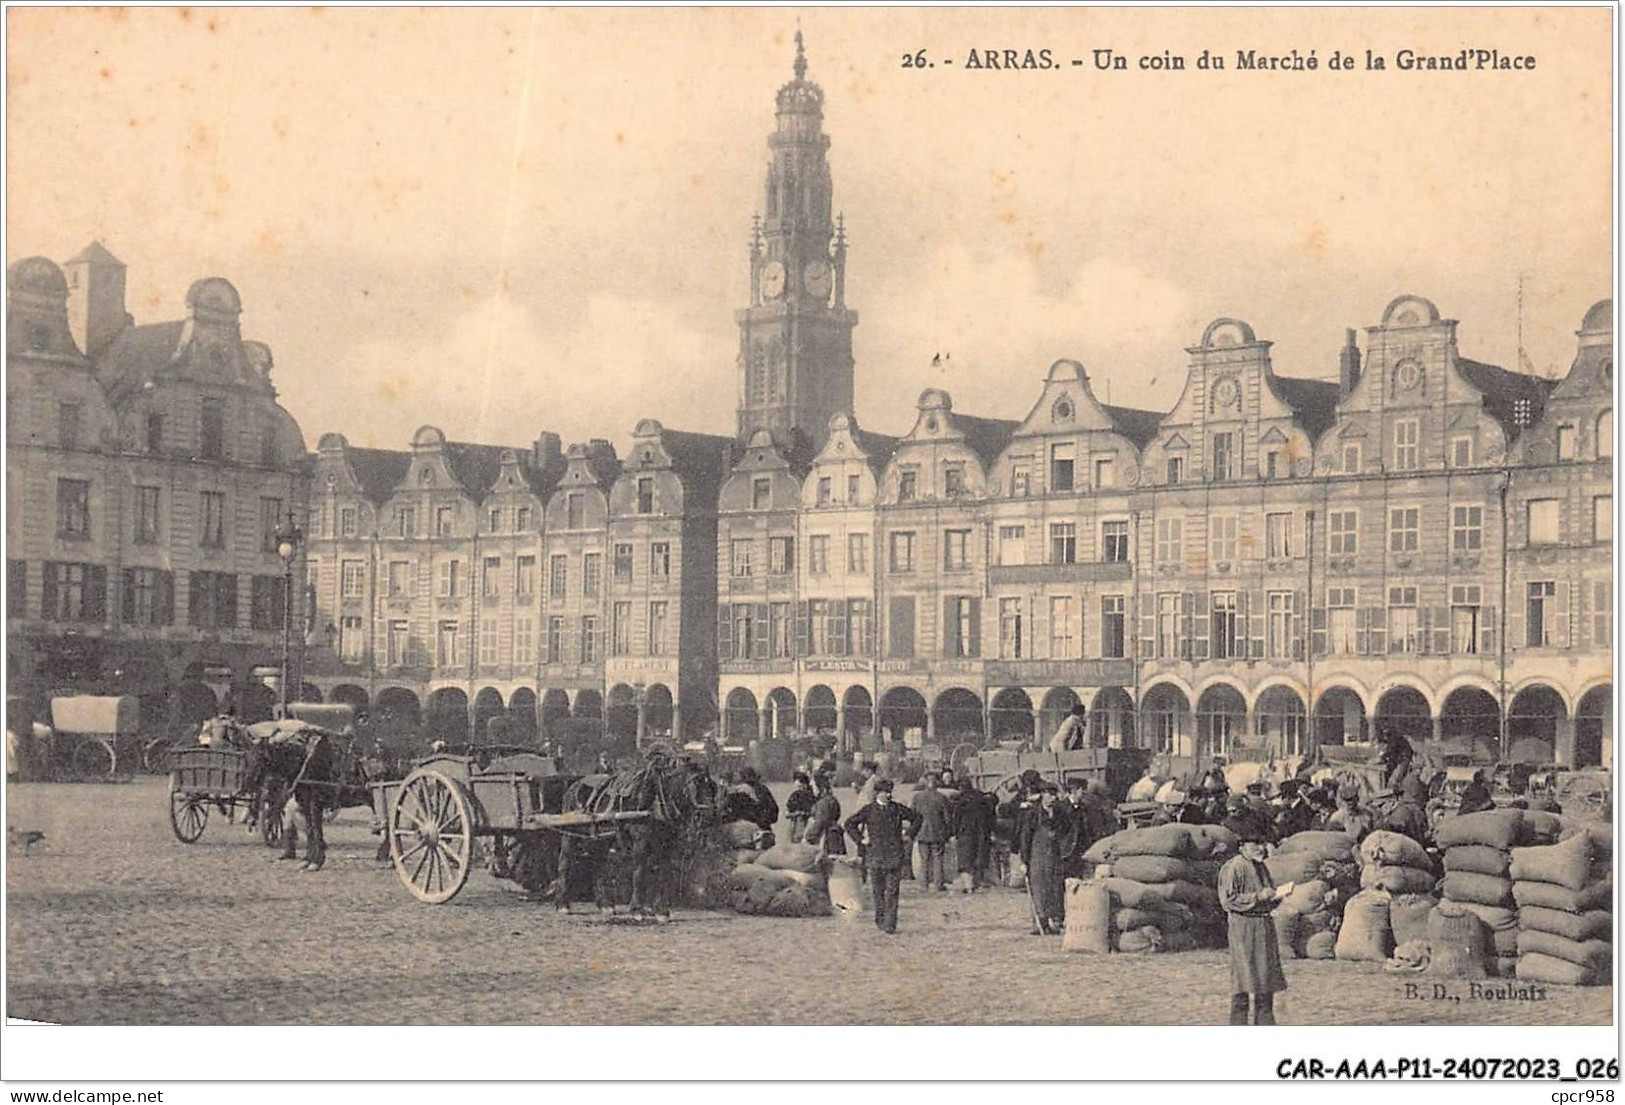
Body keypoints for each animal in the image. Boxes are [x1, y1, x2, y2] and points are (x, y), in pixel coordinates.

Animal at [552, 754, 718, 916]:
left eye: (712, 786)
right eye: (696, 784)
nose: (709, 815)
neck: (656, 798)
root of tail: (574, 784)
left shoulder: (667, 843)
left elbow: (663, 871)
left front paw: (660, 910)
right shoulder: (641, 841)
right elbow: (640, 872)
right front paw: (637, 909)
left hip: (602, 839)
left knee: (597, 864)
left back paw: (604, 904)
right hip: (570, 835)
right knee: (565, 862)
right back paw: (562, 904)